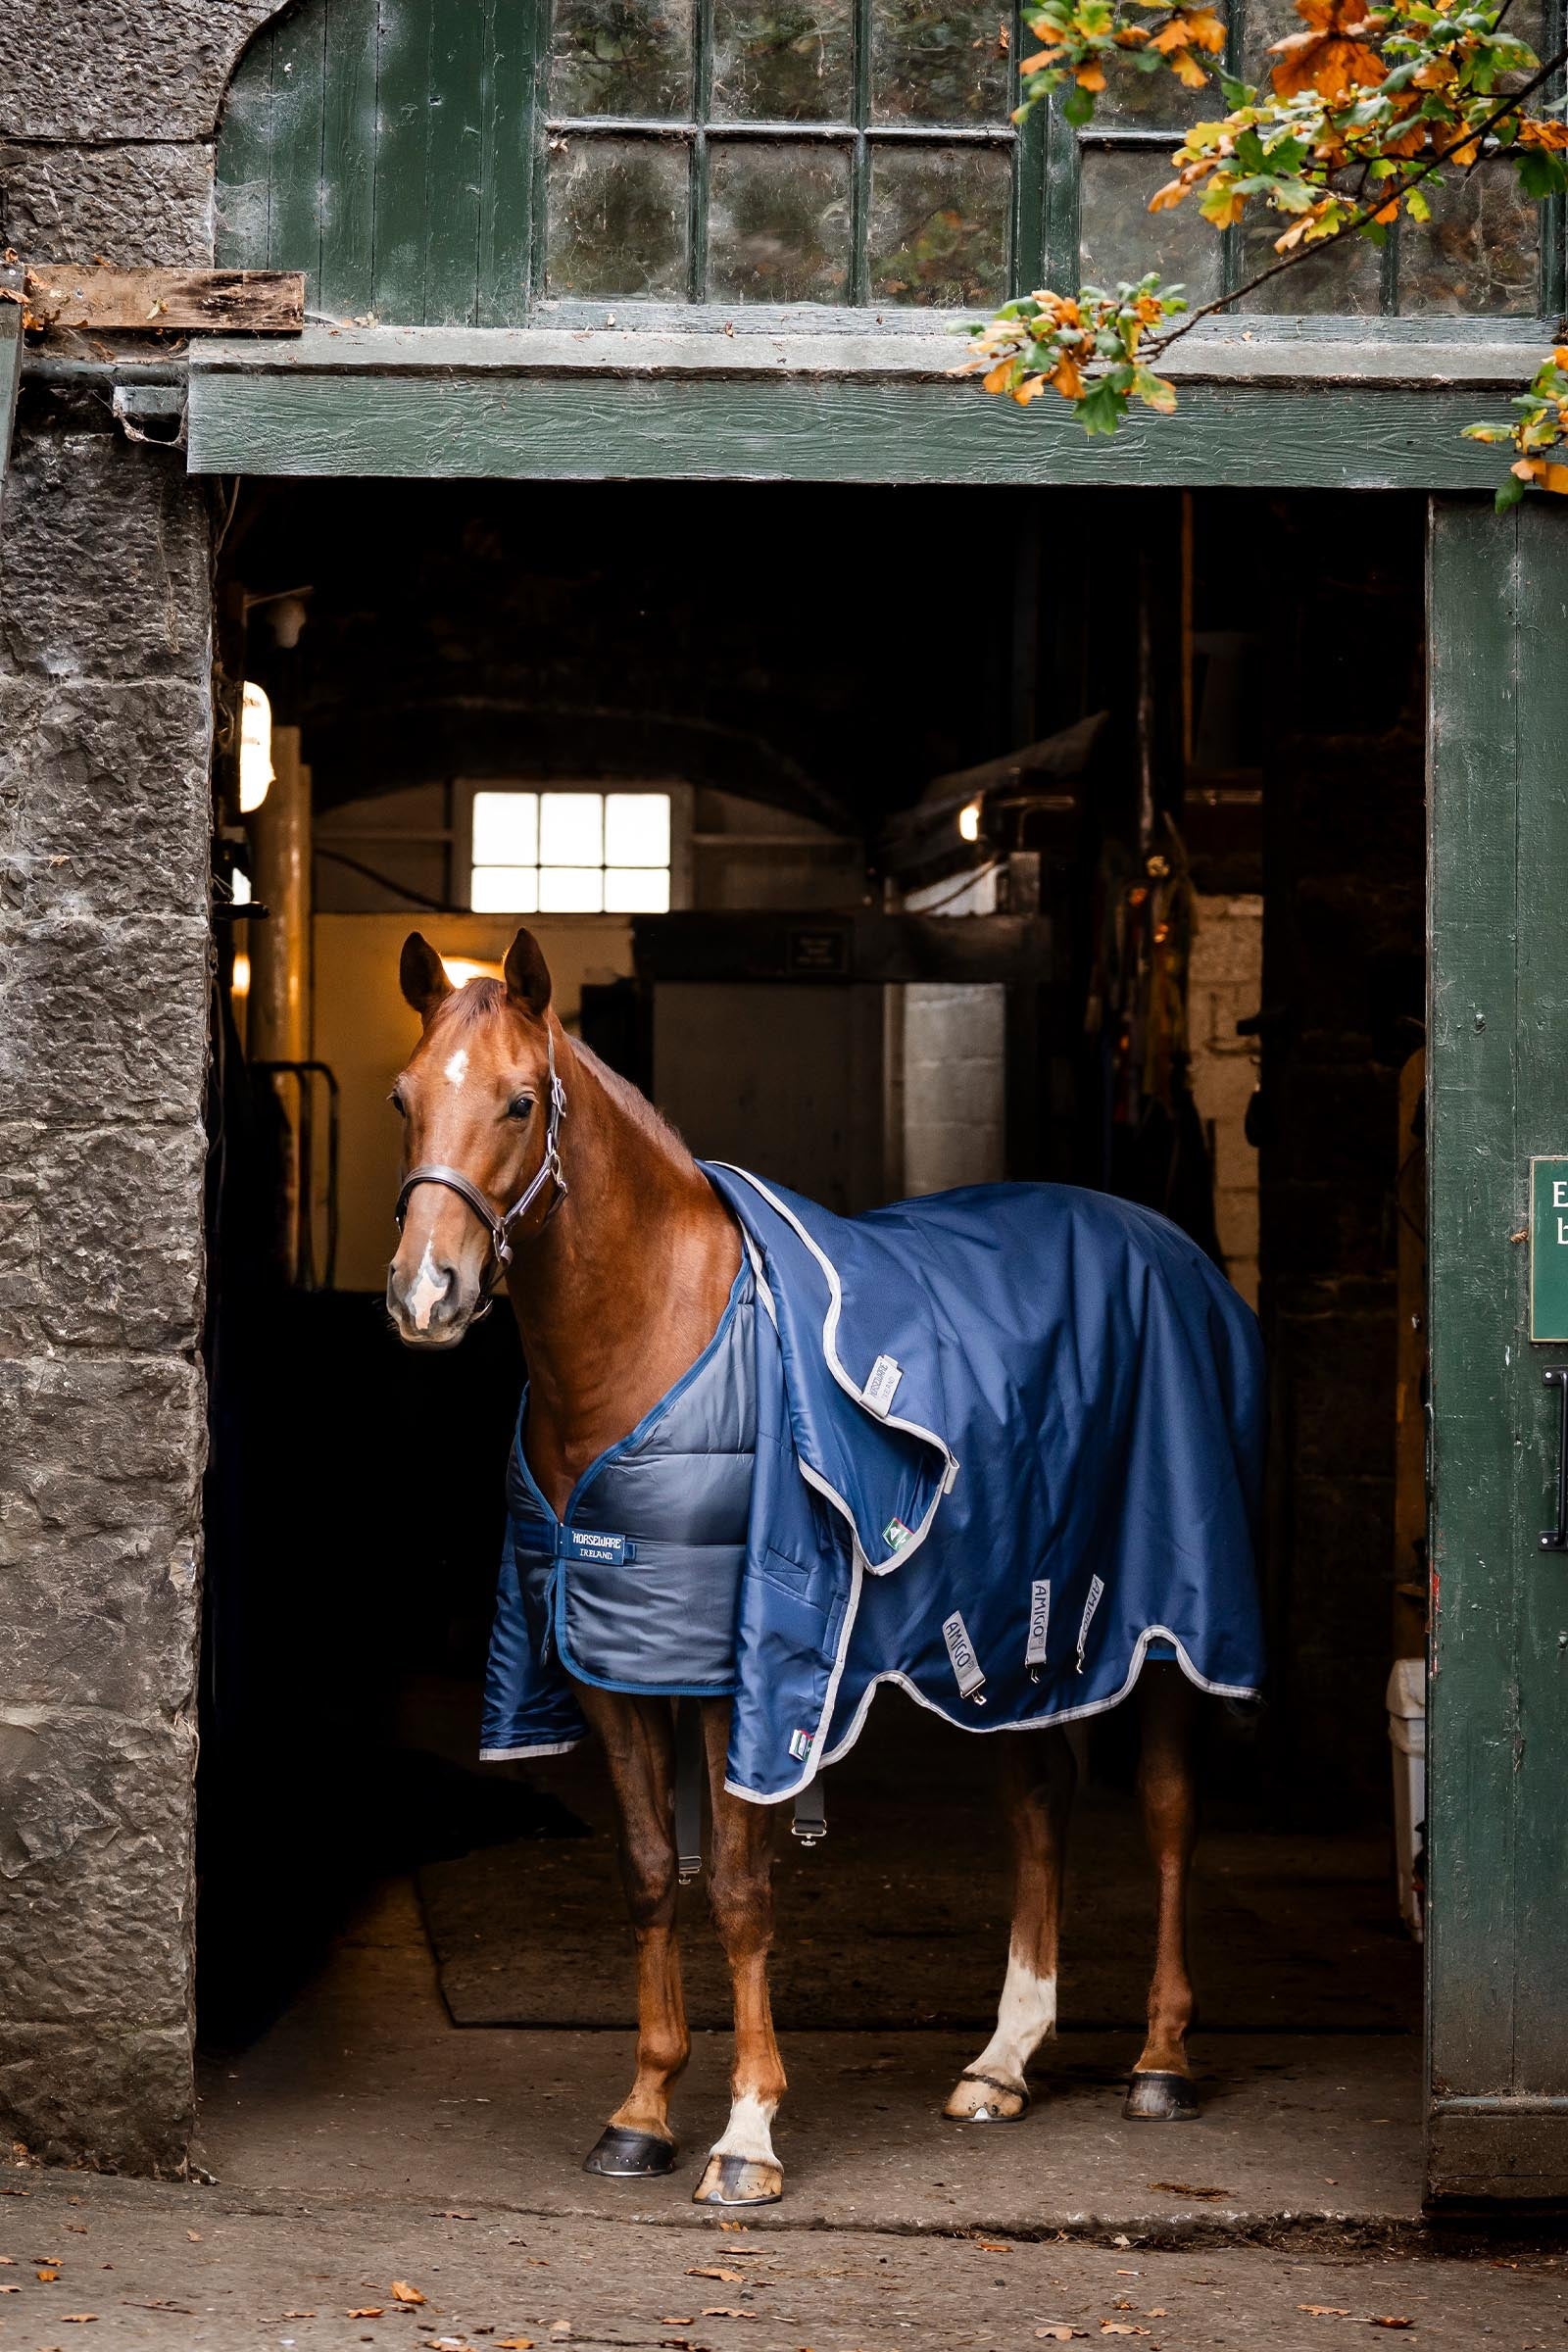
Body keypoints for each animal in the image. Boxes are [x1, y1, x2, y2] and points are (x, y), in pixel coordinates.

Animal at [385, 925, 1264, 2207]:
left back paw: (1159, 2059)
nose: (424, 1294)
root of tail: (1180, 1255)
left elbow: (738, 1891)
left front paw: (747, 2135)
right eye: (404, 1100)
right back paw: (1001, 2063)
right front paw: (641, 2112)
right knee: (1038, 1803)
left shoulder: (739, 1674)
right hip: (1018, 1636)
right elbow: (647, 1874)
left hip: (1165, 1631)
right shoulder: (609, 1662)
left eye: (520, 1100)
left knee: (1162, 1810)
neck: (652, 1337)